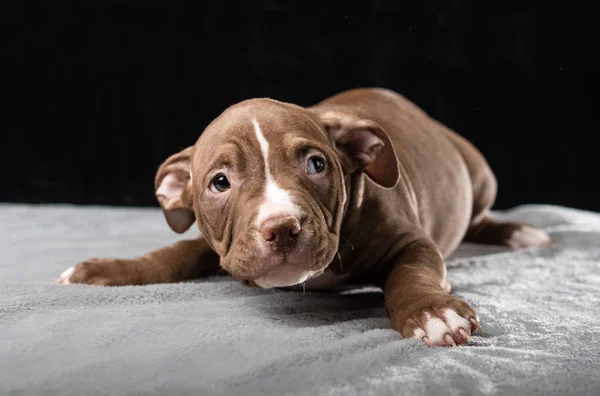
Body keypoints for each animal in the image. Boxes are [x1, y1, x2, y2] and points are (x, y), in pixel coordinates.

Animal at [58, 87, 552, 346]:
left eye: (317, 164)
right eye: (219, 183)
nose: (281, 228)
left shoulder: (412, 241)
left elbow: (411, 272)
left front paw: (432, 312)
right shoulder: (223, 243)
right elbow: (175, 252)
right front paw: (104, 270)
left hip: (478, 172)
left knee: (480, 216)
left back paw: (520, 232)